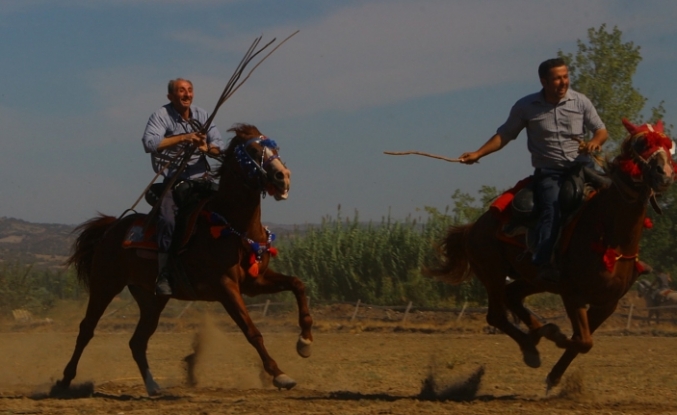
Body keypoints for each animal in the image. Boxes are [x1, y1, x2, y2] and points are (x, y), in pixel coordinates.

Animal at [56, 124, 312, 396]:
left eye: (275, 147)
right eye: (252, 150)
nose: (283, 177)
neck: (234, 226)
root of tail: (111, 228)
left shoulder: (254, 282)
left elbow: (297, 284)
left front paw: (305, 342)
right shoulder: (225, 287)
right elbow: (251, 331)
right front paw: (279, 374)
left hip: (152, 299)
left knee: (138, 341)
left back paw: (153, 386)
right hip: (104, 285)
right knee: (87, 329)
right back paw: (63, 381)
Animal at [428, 118, 676, 392]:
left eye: (668, 145)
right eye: (641, 144)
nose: (664, 172)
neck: (611, 237)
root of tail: (473, 228)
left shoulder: (607, 302)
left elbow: (583, 341)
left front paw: (554, 375)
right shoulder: (572, 295)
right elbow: (581, 340)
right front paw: (554, 338)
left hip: (533, 279)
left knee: (512, 296)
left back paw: (536, 333)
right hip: (492, 272)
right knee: (497, 314)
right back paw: (533, 345)